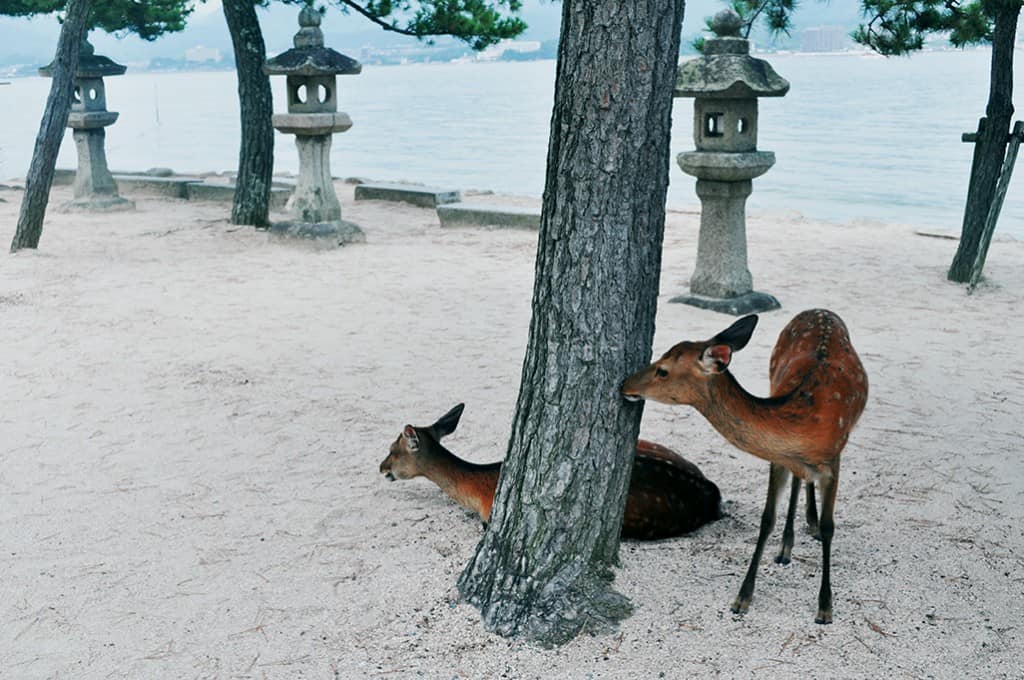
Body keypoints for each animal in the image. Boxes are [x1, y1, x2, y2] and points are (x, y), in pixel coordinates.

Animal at [621, 309, 868, 624]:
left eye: (662, 370)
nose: (624, 384)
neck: (802, 428)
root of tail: (820, 310)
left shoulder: (834, 459)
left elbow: (828, 527)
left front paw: (825, 606)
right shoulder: (778, 458)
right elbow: (767, 519)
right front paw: (742, 597)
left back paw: (807, 527)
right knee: (798, 480)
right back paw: (787, 545)